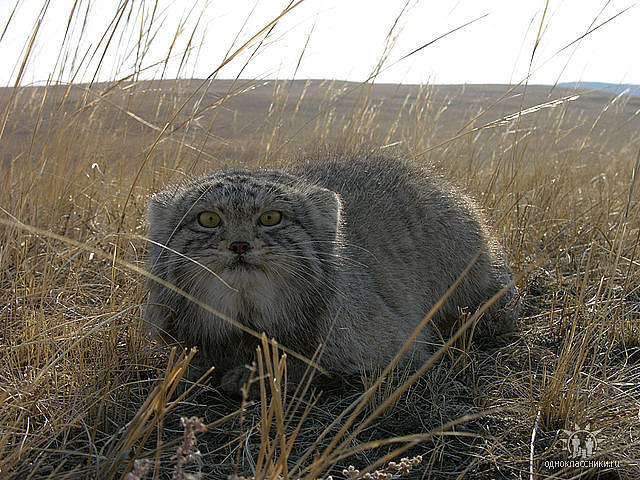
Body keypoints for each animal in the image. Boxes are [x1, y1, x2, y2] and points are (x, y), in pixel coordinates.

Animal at [145, 156, 520, 392]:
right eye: (208, 219)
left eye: (271, 218)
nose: (239, 245)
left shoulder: (396, 347)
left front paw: (257, 375)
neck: (247, 320)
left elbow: (313, 365)